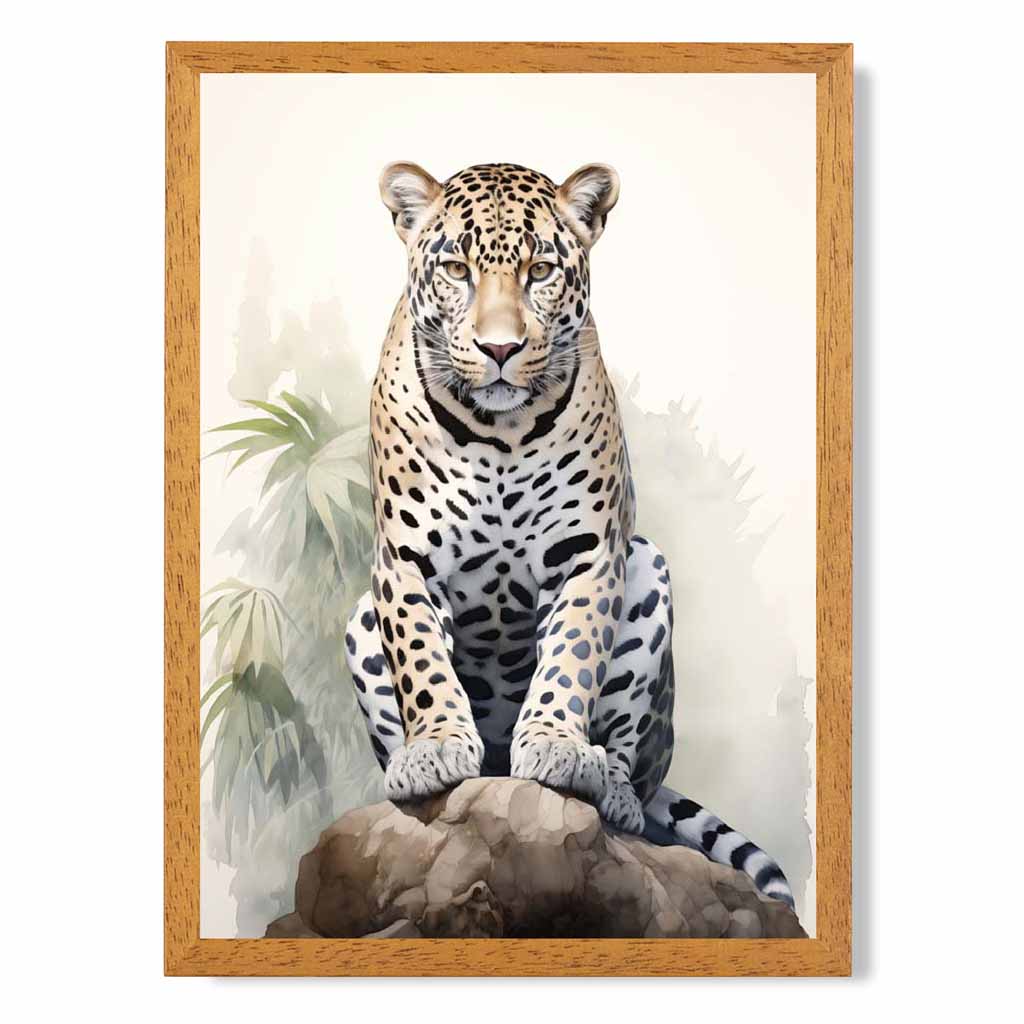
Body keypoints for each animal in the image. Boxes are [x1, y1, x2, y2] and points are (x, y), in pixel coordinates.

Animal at [344, 161, 794, 907]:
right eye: (458, 269)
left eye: (541, 270)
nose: (500, 348)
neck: (496, 433)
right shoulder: (405, 561)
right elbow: (423, 663)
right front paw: (434, 746)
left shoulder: (589, 556)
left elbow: (572, 658)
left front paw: (555, 742)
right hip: (358, 619)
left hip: (649, 574)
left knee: (631, 760)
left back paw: (609, 787)